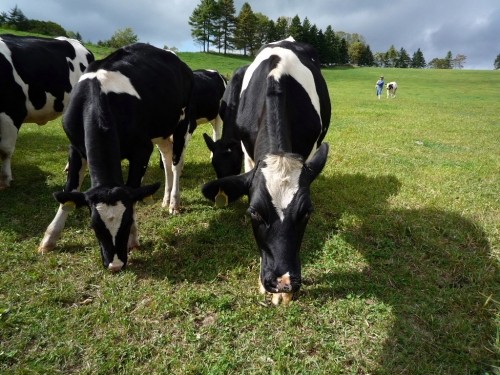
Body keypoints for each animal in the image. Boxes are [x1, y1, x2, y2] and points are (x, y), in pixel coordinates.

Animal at [38, 42, 193, 272]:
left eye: (126, 222)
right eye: (94, 225)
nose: (115, 265)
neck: (98, 98)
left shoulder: (141, 149)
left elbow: (134, 192)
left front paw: (133, 239)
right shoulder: (75, 148)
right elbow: (69, 192)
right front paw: (49, 239)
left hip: (183, 121)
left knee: (176, 161)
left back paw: (174, 202)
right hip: (160, 131)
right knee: (166, 156)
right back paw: (165, 199)